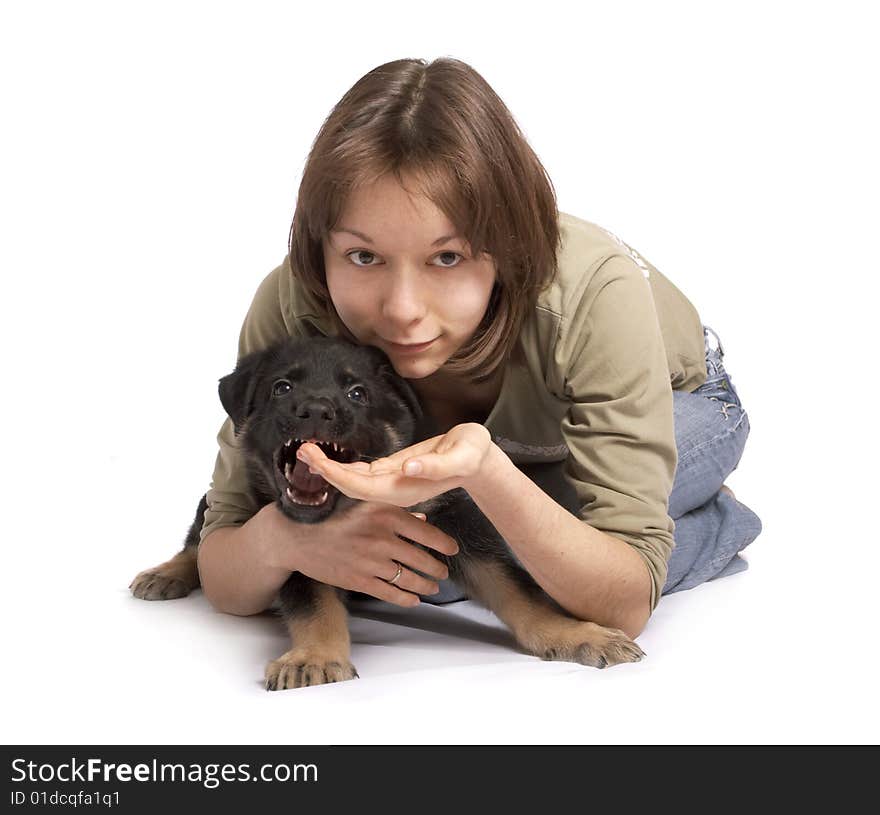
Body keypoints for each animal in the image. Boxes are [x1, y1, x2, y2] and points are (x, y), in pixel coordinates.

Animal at [131, 338, 644, 688]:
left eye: (357, 394)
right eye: (281, 387)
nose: (313, 409)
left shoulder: (458, 527)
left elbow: (521, 591)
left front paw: (577, 634)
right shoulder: (289, 544)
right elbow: (312, 602)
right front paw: (316, 657)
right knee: (199, 535)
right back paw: (167, 573)